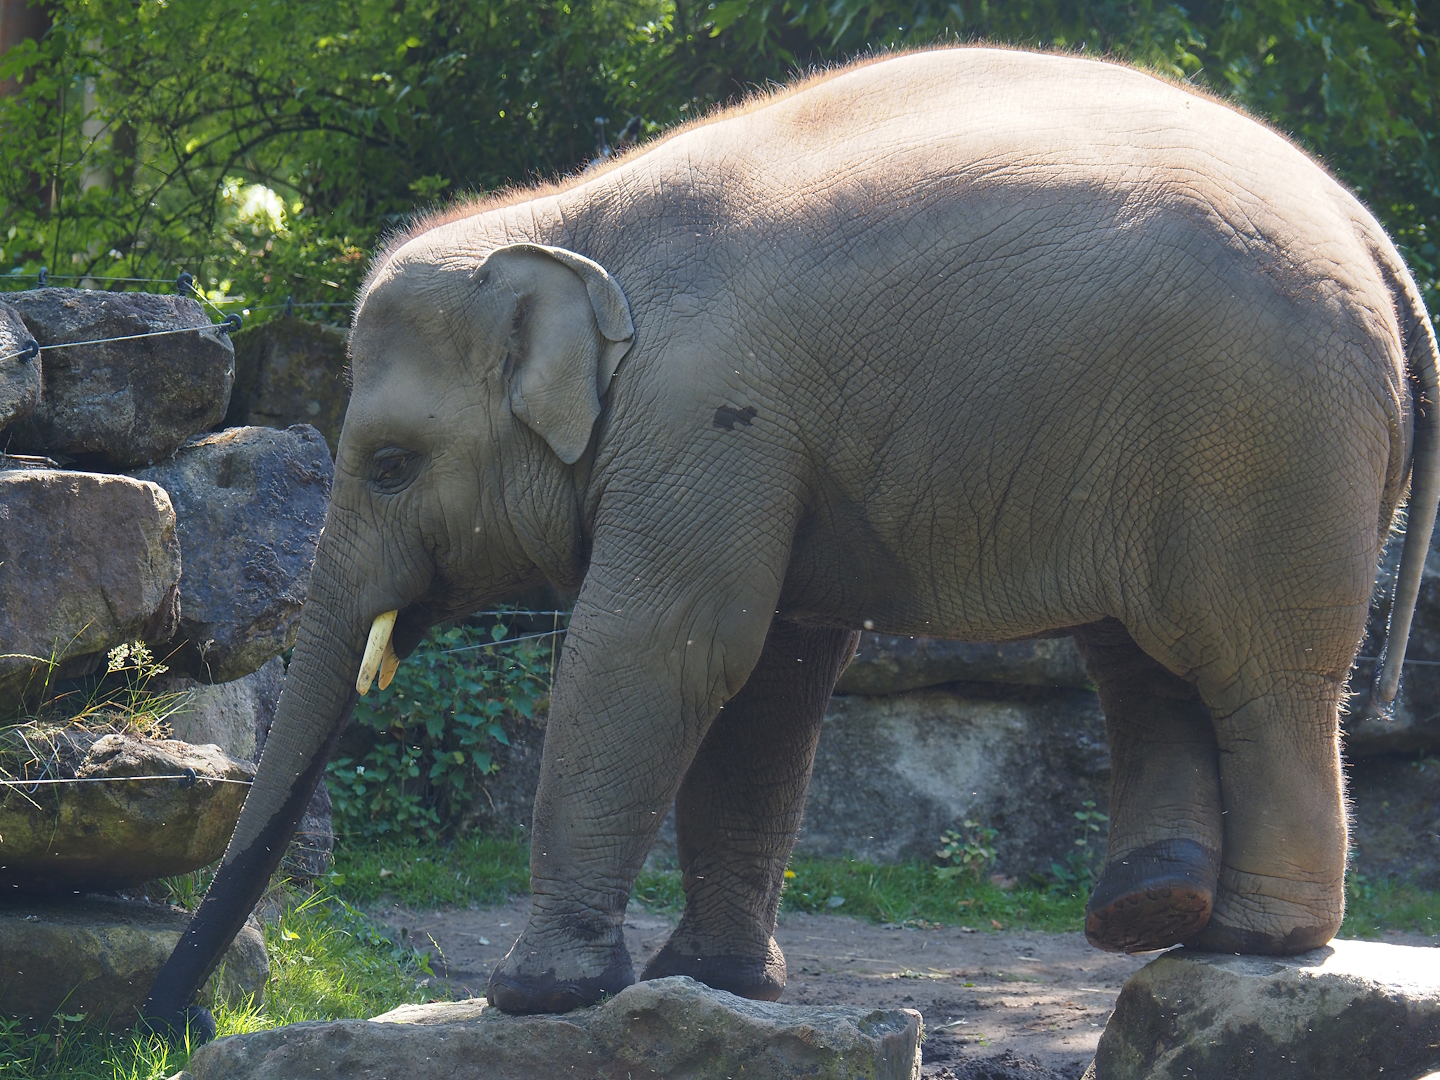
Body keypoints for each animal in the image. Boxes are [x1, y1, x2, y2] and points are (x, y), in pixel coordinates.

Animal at [144, 46, 1439, 1037]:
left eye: (389, 465)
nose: (181, 1023)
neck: (563, 223)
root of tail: (1376, 242)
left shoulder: (706, 414)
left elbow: (660, 650)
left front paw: (536, 999)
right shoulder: (757, 445)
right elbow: (770, 670)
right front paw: (709, 983)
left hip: (1269, 442)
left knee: (1254, 668)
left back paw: (1258, 940)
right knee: (1144, 655)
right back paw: (1152, 920)